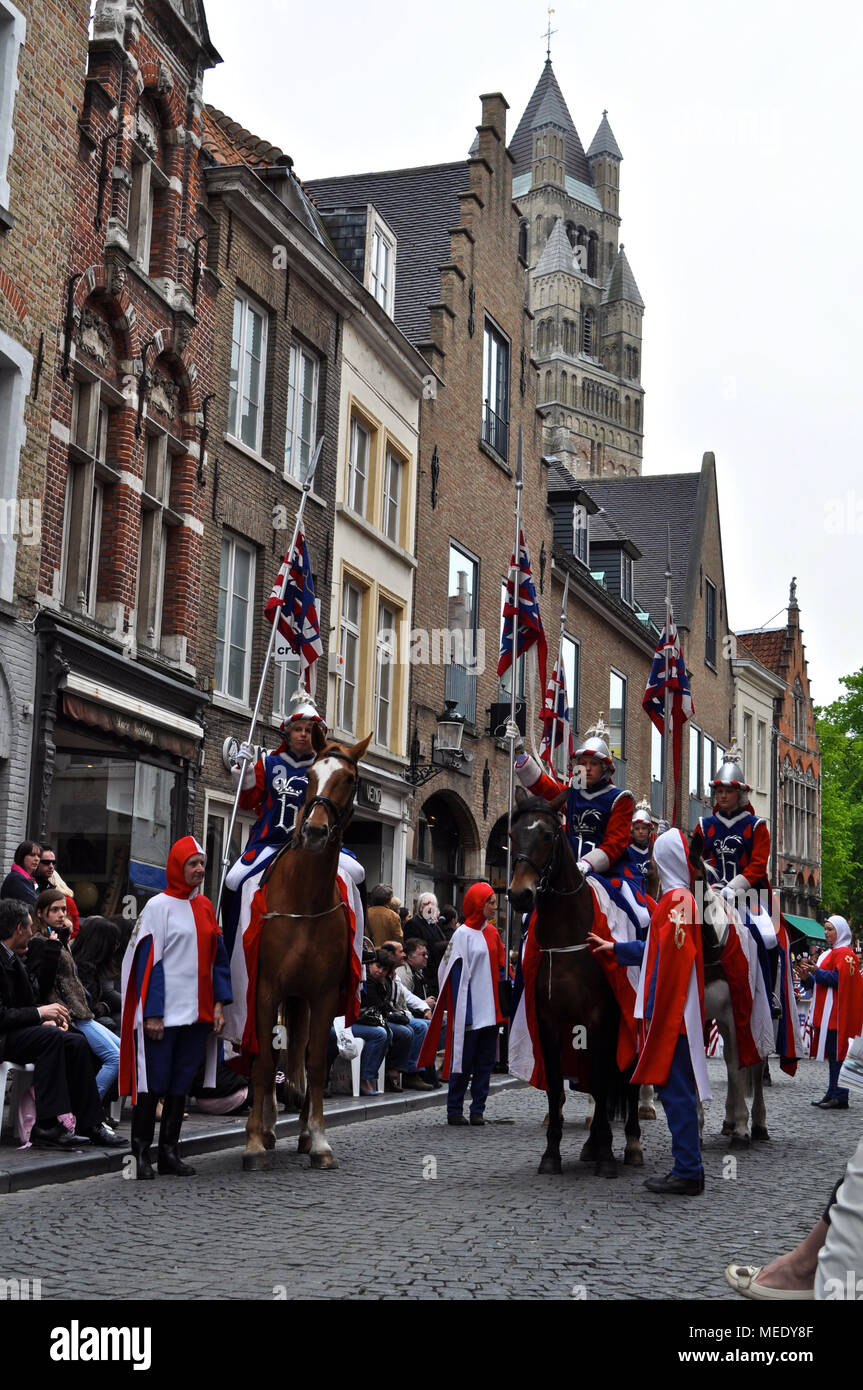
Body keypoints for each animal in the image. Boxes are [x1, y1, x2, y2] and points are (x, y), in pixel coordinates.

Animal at [240, 733, 369, 1167]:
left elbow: (313, 1060)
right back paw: (266, 1126)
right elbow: (264, 1059)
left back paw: (298, 1132)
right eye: (312, 775)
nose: (314, 831)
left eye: (349, 779)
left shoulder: (324, 994)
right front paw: (254, 1141)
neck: (305, 901)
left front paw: (318, 1140)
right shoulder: (263, 989)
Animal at [505, 795, 639, 1173]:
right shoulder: (549, 1022)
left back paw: (630, 1145)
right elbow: (555, 1086)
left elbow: (603, 1079)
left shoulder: (600, 1019)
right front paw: (552, 1154)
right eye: (513, 834)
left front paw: (606, 1153)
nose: (520, 895)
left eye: (548, 834)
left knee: (627, 1079)